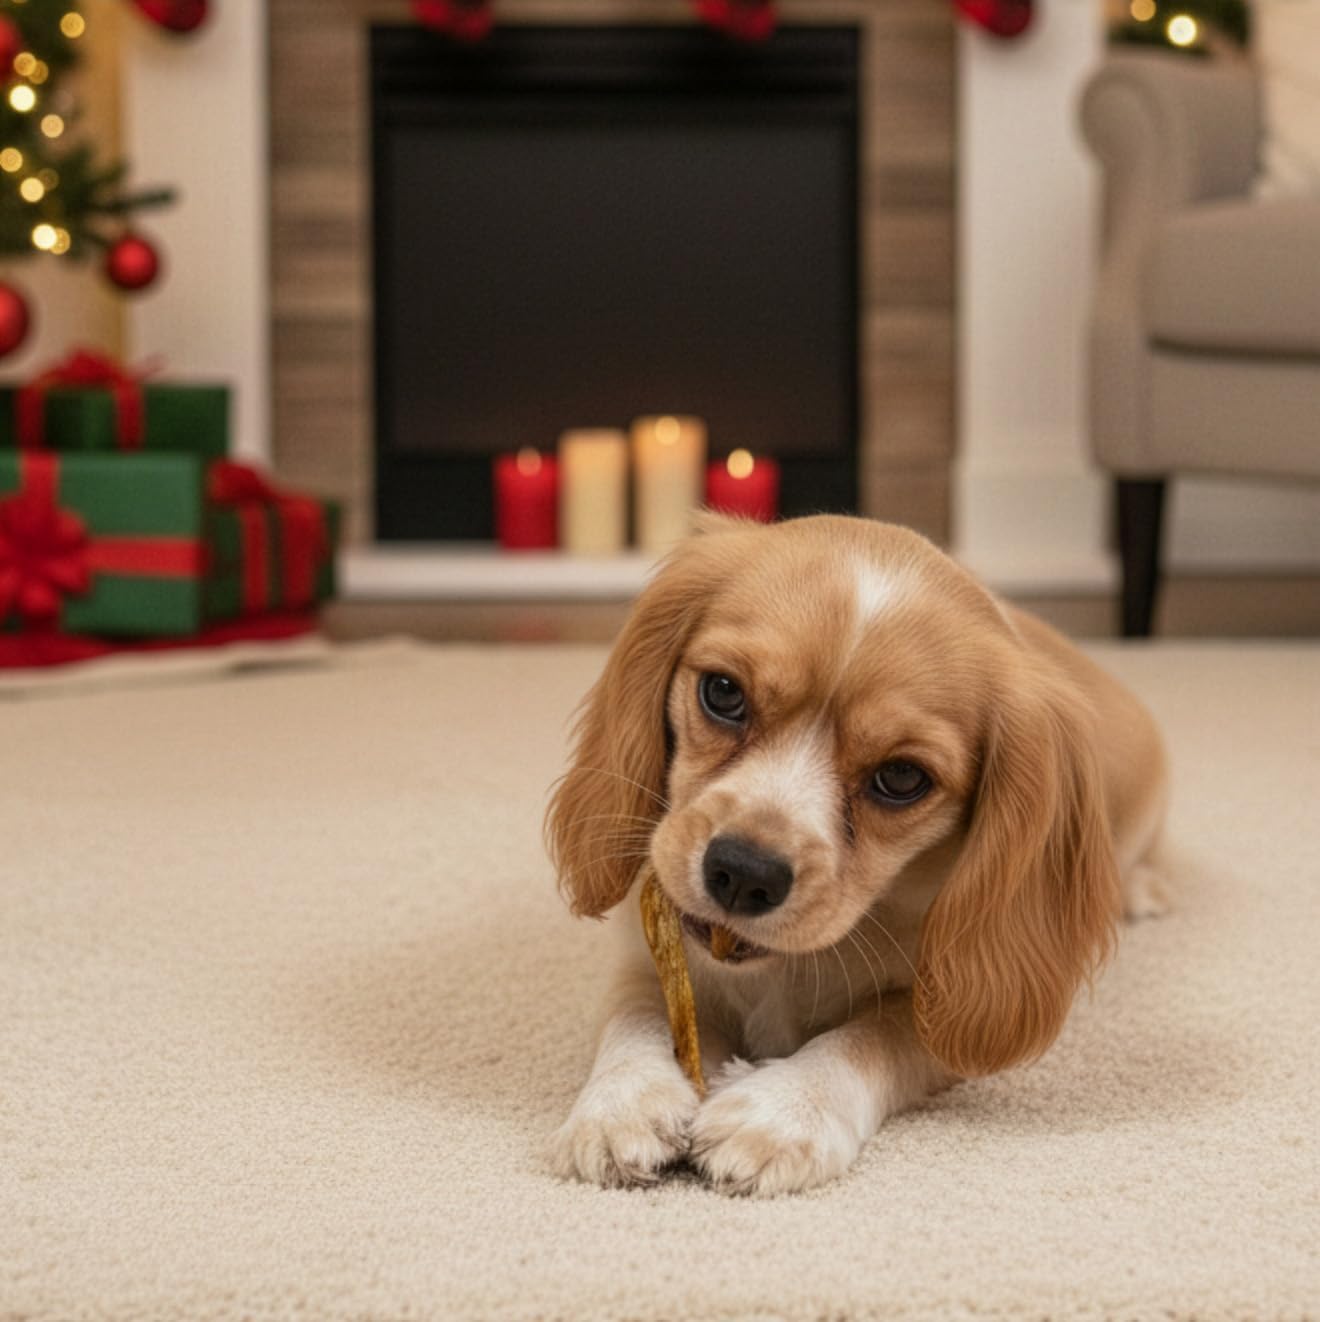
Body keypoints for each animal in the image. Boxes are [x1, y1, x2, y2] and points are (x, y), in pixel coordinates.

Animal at [546, 514, 1168, 1196]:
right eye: (723, 693)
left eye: (901, 777)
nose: (742, 874)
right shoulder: (646, 950)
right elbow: (639, 1013)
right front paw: (623, 1102)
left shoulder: (948, 1006)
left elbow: (869, 1035)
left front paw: (781, 1110)